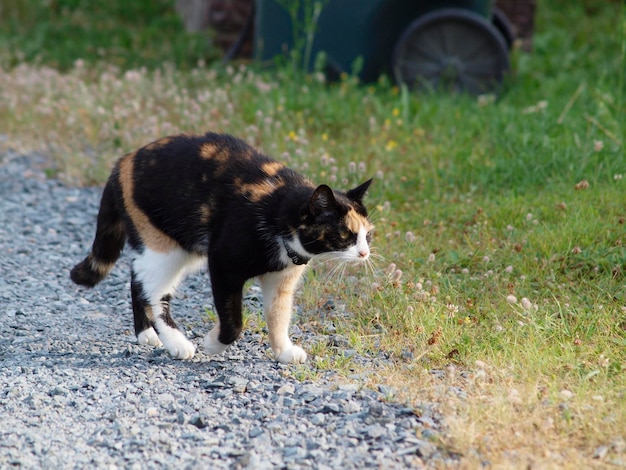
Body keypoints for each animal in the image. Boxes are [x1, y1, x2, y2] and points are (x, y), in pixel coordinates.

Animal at [72, 131, 376, 364]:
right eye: (345, 234)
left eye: (368, 235)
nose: (364, 254)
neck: (278, 210)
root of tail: (124, 160)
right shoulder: (222, 263)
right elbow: (234, 322)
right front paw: (213, 344)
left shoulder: (281, 281)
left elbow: (278, 316)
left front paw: (283, 351)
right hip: (165, 248)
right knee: (153, 293)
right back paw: (175, 342)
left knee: (137, 279)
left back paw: (145, 334)